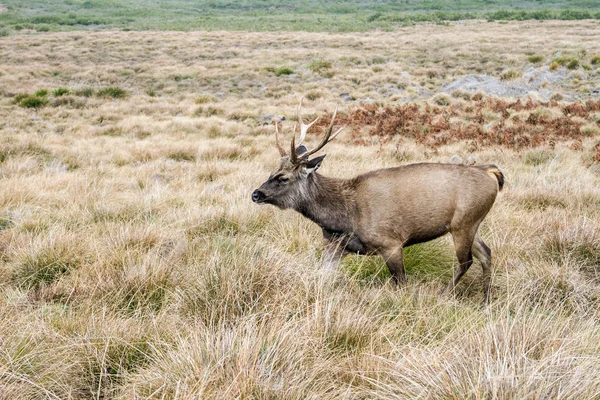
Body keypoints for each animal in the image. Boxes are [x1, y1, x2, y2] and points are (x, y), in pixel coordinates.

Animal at [251, 100, 504, 304]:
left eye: (283, 178)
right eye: (272, 171)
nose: (256, 194)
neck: (344, 217)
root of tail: (490, 172)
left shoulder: (391, 242)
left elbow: (401, 284)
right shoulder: (334, 244)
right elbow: (321, 275)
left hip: (464, 222)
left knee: (466, 261)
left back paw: (445, 294)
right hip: (472, 223)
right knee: (486, 253)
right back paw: (486, 300)